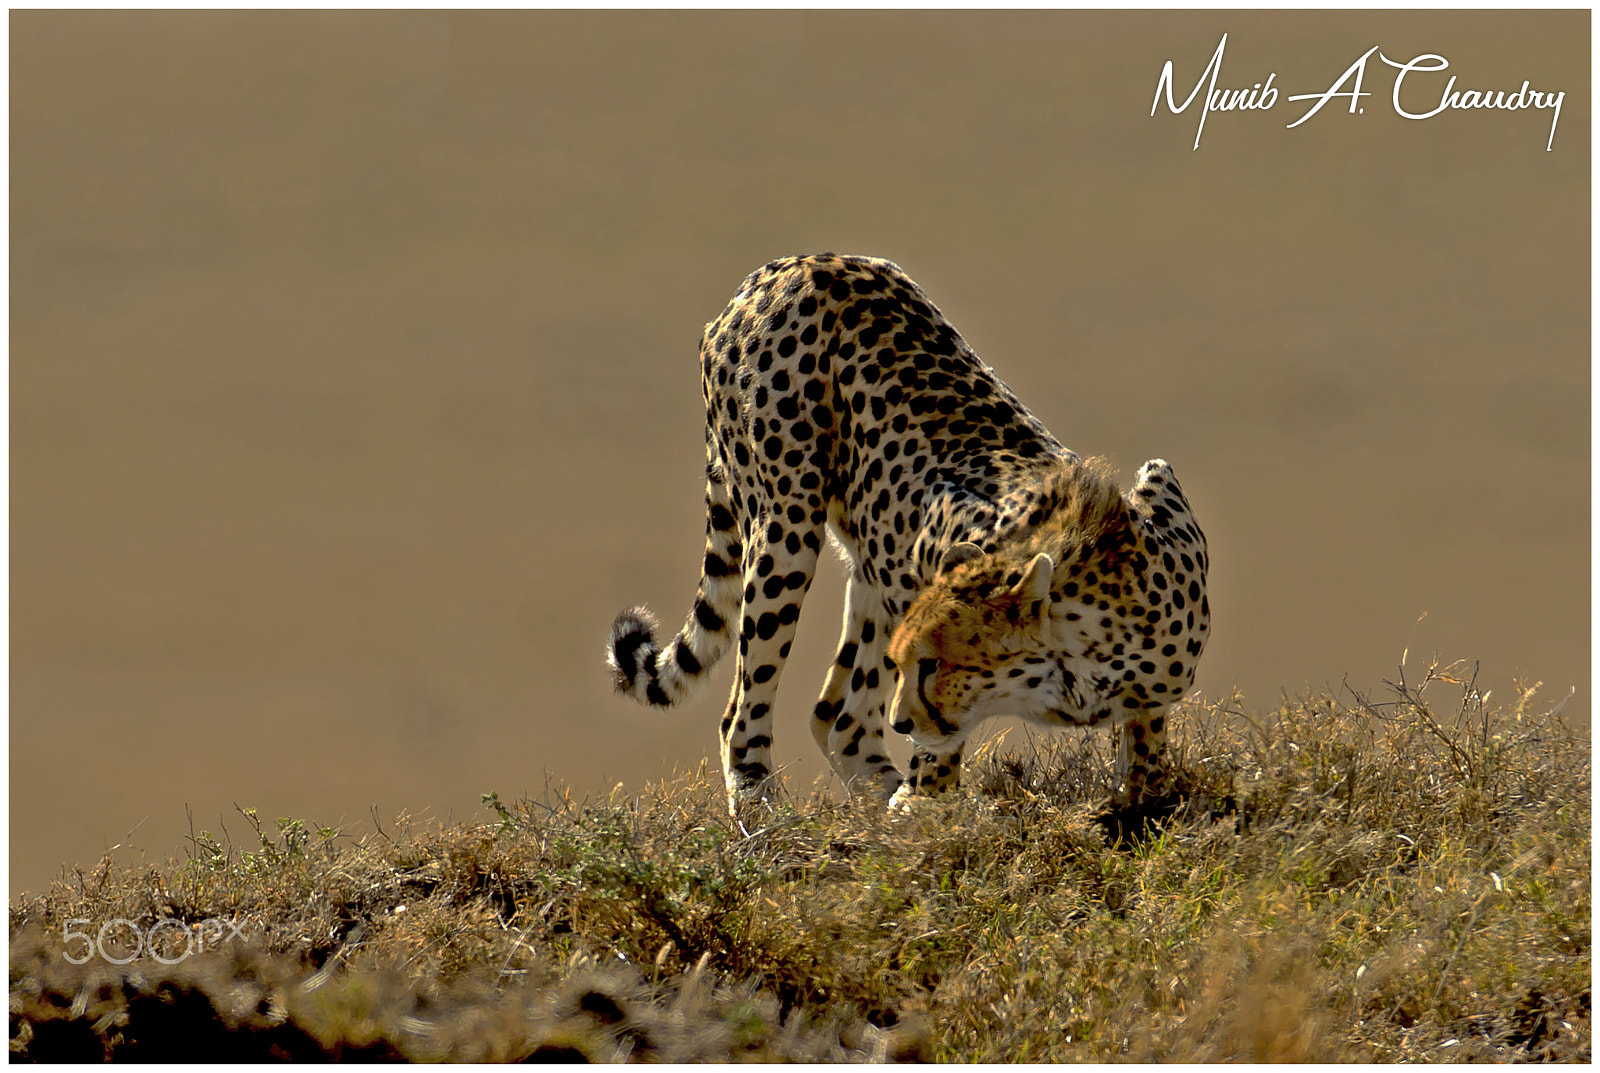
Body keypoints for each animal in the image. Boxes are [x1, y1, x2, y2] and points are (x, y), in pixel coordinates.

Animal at [604, 257, 1203, 815]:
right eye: (915, 662)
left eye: (935, 664)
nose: (903, 722)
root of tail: (791, 266)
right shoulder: (938, 525)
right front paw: (924, 803)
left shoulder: (1160, 486)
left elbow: (1148, 732)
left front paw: (1145, 792)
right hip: (786, 527)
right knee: (745, 714)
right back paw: (767, 808)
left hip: (866, 553)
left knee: (836, 717)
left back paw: (881, 789)